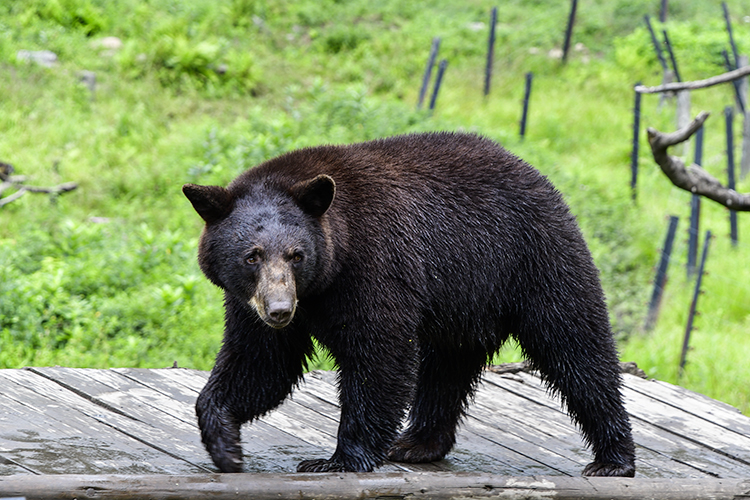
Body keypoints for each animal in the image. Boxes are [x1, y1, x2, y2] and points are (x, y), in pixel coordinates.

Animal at [185, 132, 636, 476]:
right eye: (252, 256)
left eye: (297, 254)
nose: (279, 310)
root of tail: (537, 174)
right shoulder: (250, 304)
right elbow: (260, 363)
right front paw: (226, 446)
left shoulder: (375, 265)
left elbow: (378, 354)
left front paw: (338, 458)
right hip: (464, 301)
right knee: (446, 369)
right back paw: (418, 442)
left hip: (536, 262)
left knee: (576, 348)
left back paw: (613, 458)